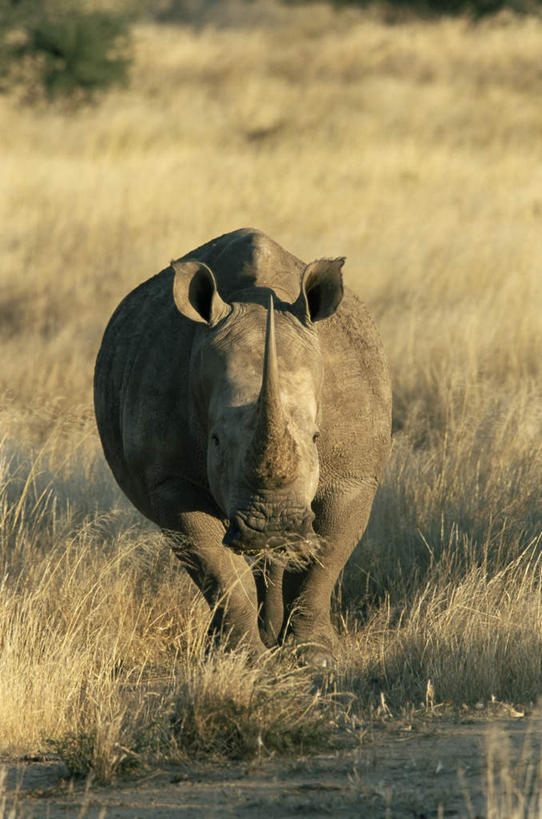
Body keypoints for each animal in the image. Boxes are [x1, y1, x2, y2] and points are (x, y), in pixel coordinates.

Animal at [93, 227, 392, 664]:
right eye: (215, 441)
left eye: (317, 437)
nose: (272, 527)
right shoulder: (171, 479)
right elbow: (217, 569)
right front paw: (240, 658)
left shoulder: (354, 476)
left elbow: (325, 562)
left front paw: (314, 655)